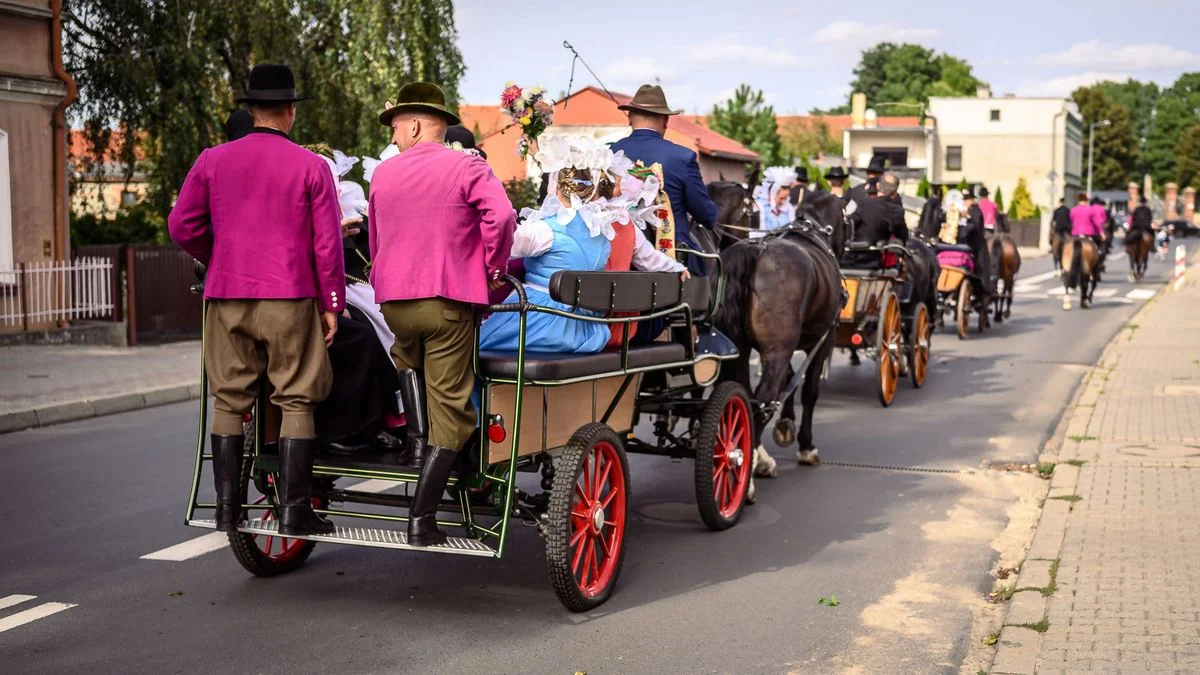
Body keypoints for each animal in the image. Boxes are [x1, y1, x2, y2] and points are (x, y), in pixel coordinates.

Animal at [710, 189, 844, 482]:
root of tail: (756, 250)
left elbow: (790, 380)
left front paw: (785, 424)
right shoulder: (822, 340)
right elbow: (809, 390)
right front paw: (806, 445)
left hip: (739, 349)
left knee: (745, 394)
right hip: (777, 351)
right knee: (762, 397)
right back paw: (750, 466)